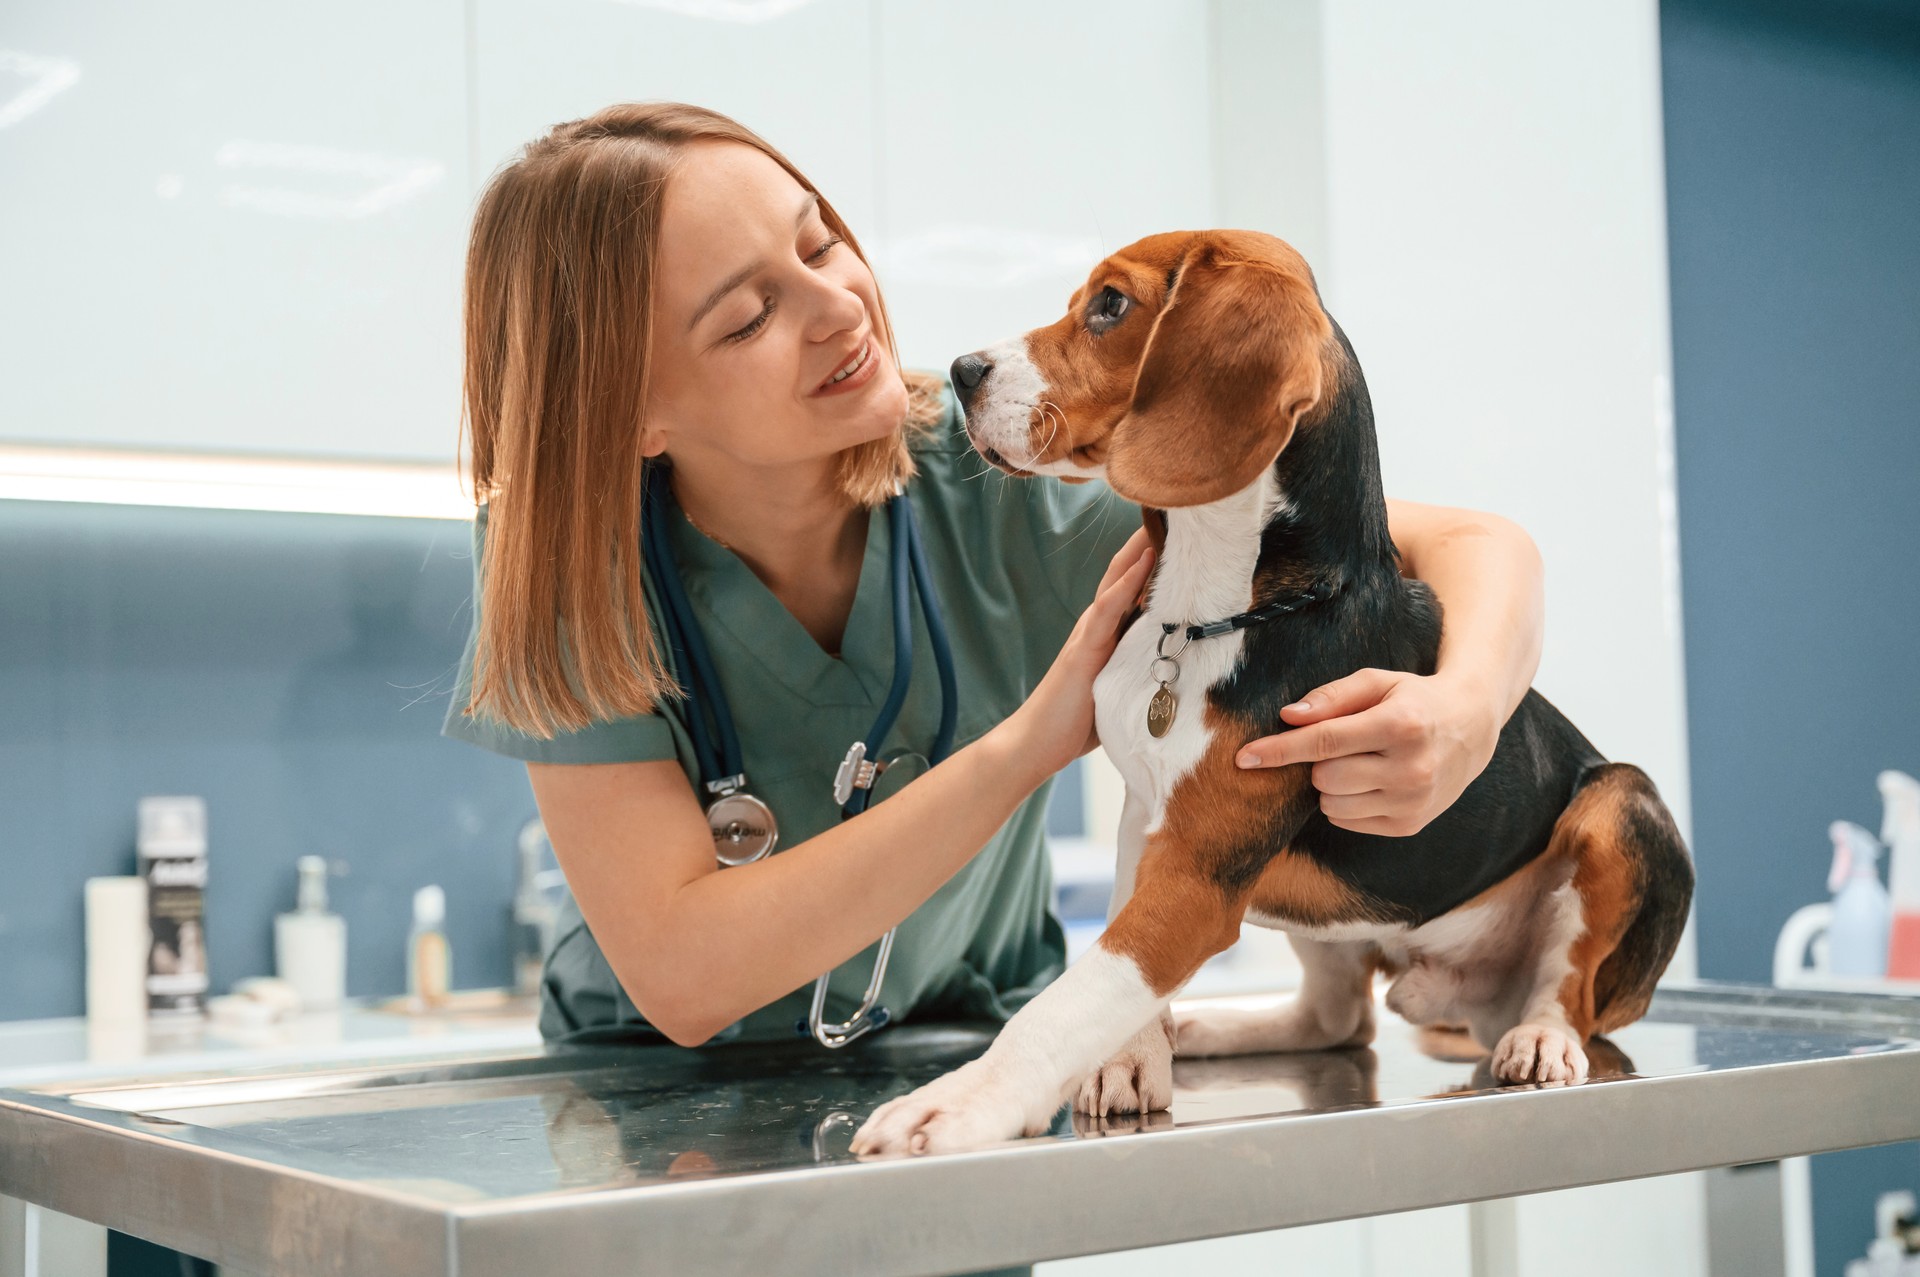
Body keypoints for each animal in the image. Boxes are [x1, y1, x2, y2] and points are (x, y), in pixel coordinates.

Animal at [848, 229, 1689, 1152]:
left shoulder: (1196, 871)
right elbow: (1113, 960)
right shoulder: (1146, 817)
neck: (1201, 617)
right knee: (1335, 1017)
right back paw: (1209, 1025)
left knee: (1570, 989)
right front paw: (1129, 1057)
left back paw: (1540, 1037)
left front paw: (963, 1102)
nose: (962, 371)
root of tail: (1455, 988)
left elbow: (1078, 990)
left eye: (1110, 304)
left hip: (1624, 810)